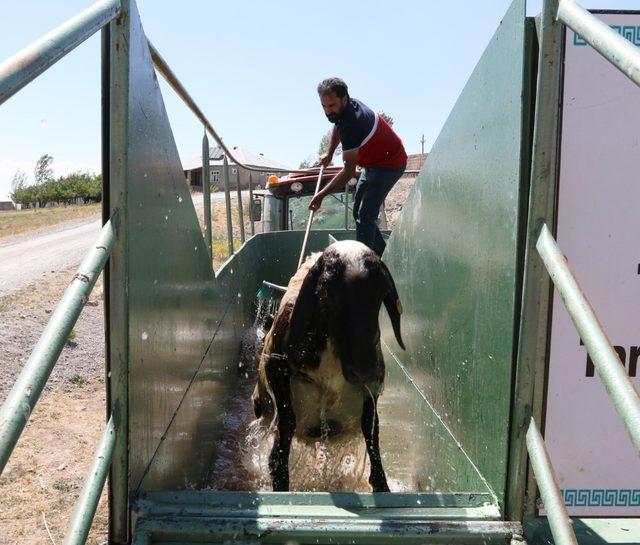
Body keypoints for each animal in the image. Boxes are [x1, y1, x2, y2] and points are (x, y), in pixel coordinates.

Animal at [251, 240, 404, 490]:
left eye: (383, 292)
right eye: (324, 294)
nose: (364, 368)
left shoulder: (372, 386)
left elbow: (371, 427)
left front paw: (381, 484)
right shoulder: (276, 368)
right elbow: (287, 422)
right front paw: (279, 475)